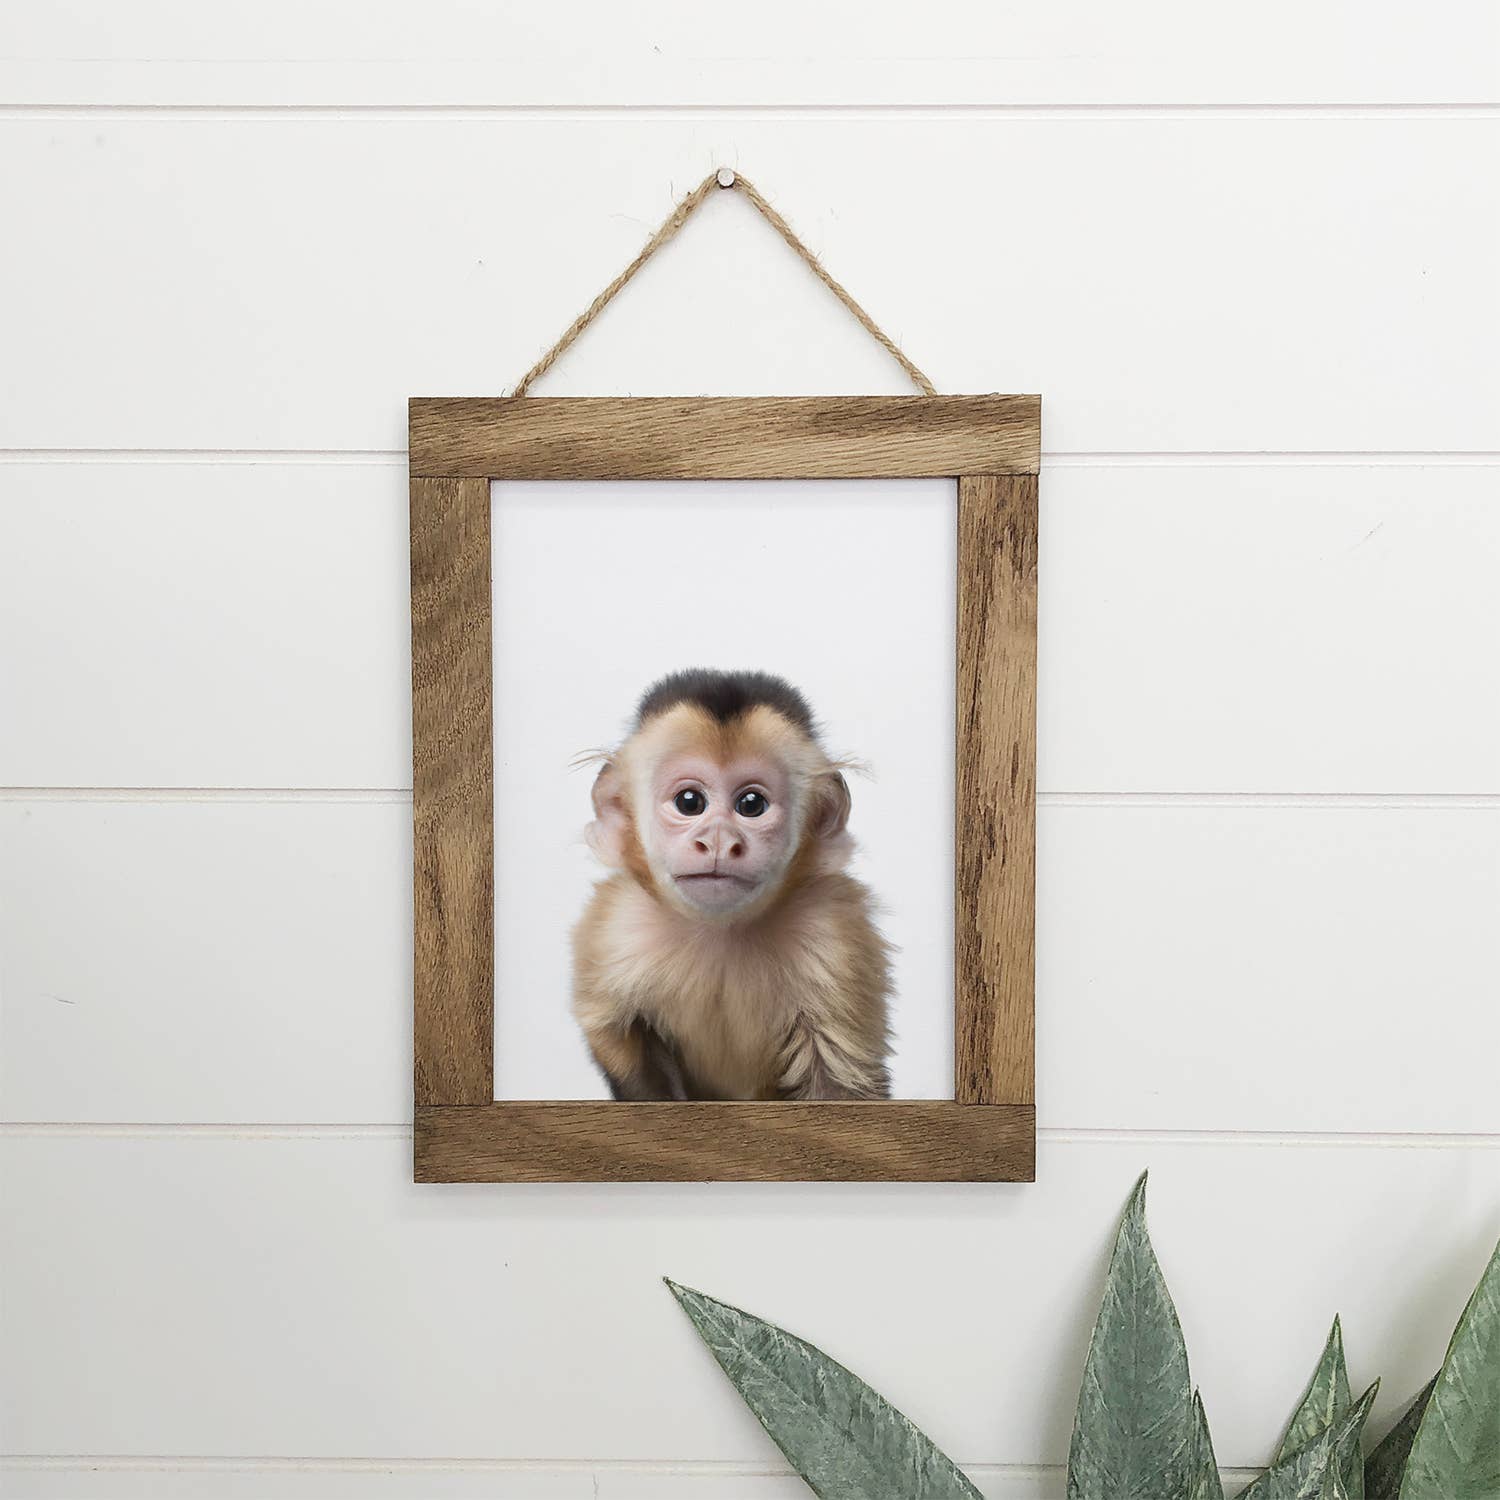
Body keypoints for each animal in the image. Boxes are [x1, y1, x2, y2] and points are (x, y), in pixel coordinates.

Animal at [571, 668, 893, 1102]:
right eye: (689, 802)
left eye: (751, 804)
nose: (719, 841)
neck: (720, 932)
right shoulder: (616, 930)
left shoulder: (833, 936)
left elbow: (841, 1084)